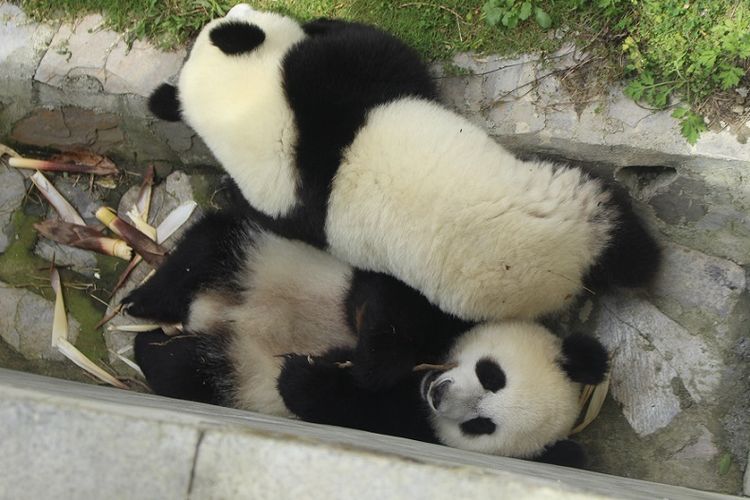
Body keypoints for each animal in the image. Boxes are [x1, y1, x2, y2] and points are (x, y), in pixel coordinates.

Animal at [125, 209, 612, 466]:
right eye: (492, 374)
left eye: (481, 427)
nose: (439, 393)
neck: (427, 365)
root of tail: (213, 314)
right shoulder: (448, 301)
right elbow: (393, 301)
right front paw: (373, 361)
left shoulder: (409, 428)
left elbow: (347, 406)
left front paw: (304, 374)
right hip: (269, 259)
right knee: (212, 244)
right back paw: (145, 302)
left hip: (241, 364)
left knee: (188, 370)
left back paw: (149, 345)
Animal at [148, 4, 664, 328]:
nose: (232, 8)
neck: (248, 113)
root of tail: (567, 277)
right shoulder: (326, 95)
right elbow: (382, 52)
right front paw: (323, 21)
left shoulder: (293, 192)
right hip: (565, 197)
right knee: (617, 221)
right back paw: (644, 261)